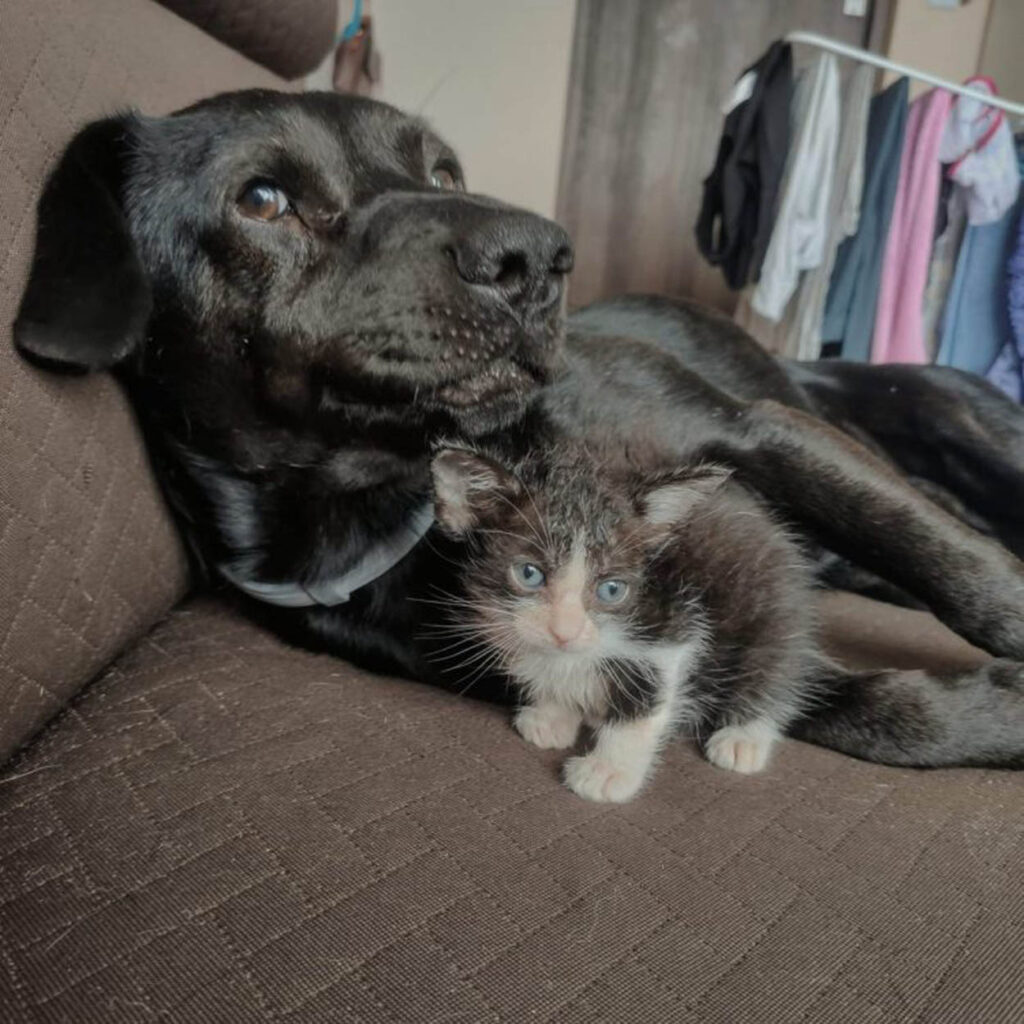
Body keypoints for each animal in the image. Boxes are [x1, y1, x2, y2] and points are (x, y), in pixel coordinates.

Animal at [428, 448, 819, 798]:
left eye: (612, 589)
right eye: (529, 573)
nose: (564, 631)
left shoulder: (673, 627)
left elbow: (645, 703)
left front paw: (608, 770)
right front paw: (552, 714)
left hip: (771, 605)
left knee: (773, 666)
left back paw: (744, 736)